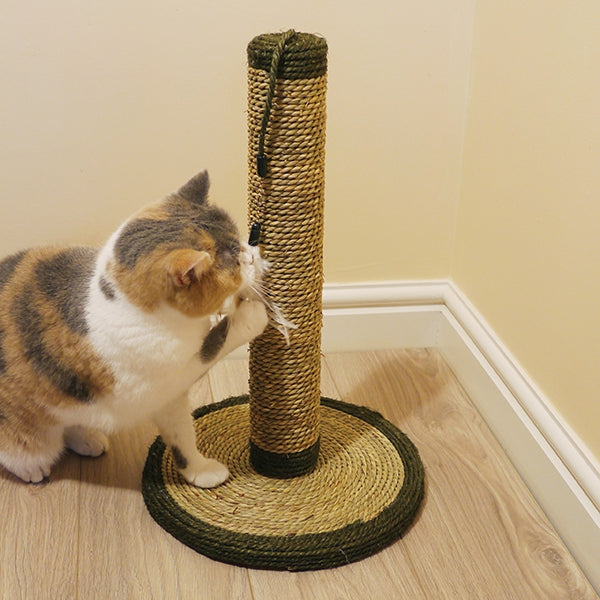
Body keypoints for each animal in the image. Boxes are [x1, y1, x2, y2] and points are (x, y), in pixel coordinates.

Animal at [0, 169, 268, 488]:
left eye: (240, 243)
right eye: (236, 262)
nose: (253, 254)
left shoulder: (170, 400)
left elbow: (181, 436)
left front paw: (200, 470)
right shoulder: (154, 385)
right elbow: (211, 347)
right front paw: (251, 314)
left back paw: (87, 439)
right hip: (32, 436)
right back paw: (32, 469)